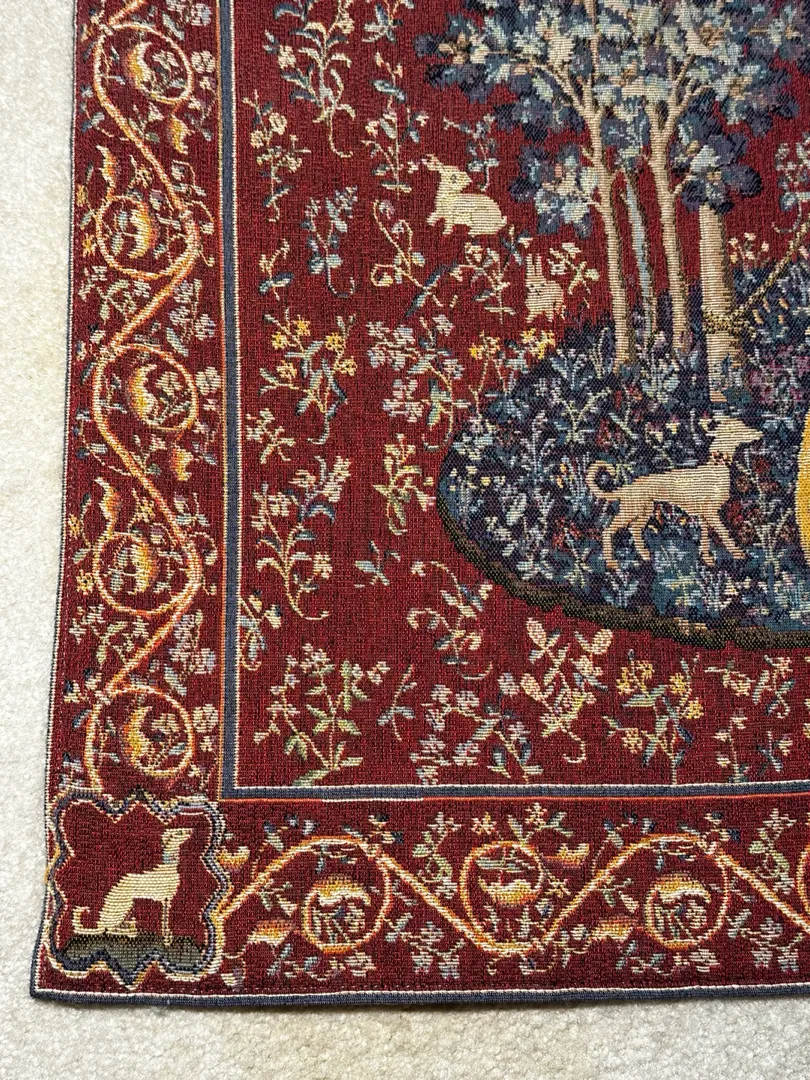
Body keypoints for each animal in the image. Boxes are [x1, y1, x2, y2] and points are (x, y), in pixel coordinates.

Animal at [586, 416, 762, 571]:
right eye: (740, 428)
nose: (760, 433)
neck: (717, 467)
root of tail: (626, 488)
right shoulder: (711, 513)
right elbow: (725, 534)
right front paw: (738, 554)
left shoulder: (704, 515)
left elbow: (705, 538)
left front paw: (708, 559)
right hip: (631, 511)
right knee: (607, 530)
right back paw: (611, 563)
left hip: (645, 511)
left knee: (634, 530)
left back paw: (645, 555)